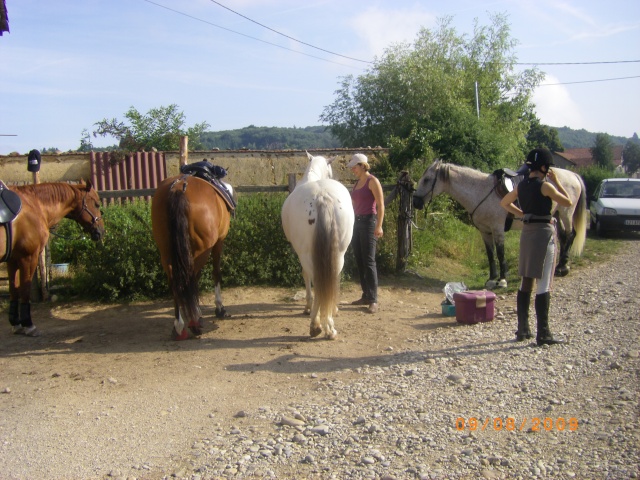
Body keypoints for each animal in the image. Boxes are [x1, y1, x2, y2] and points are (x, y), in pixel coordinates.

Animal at [1, 181, 104, 338]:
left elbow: (14, 290)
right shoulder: (28, 258)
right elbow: (25, 290)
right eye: (97, 204)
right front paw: (28, 325)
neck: (33, 205)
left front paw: (16, 324)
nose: (101, 231)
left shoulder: (13, 260)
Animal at [151, 174, 234, 340]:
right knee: (191, 279)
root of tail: (179, 188)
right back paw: (194, 323)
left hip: (166, 252)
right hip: (201, 250)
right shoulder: (219, 242)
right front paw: (220, 308)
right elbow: (216, 273)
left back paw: (179, 326)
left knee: (175, 282)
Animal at [284, 152, 358, 340]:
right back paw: (328, 326)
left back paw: (317, 324)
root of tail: (321, 196)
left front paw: (308, 308)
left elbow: (306, 277)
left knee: (316, 281)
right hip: (339, 254)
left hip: (306, 255)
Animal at [412, 160, 588, 288]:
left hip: (566, 212)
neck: (481, 192)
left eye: (426, 179)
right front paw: (491, 279)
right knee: (564, 237)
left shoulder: (497, 229)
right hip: (556, 214)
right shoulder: (484, 231)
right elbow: (490, 255)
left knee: (570, 235)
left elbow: (500, 253)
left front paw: (502, 280)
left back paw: (563, 268)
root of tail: (573, 175)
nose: (415, 202)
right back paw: (559, 266)